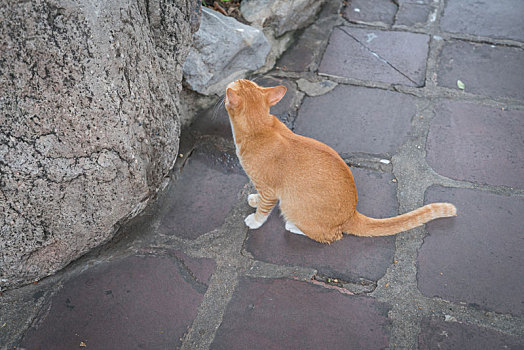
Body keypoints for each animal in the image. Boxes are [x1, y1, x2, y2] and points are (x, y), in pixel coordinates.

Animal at [224, 79, 454, 243]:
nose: (237, 77)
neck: (261, 127)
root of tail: (351, 214)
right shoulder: (264, 188)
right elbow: (259, 198)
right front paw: (254, 199)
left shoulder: (269, 189)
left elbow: (264, 209)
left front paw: (255, 220)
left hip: (292, 205)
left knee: (332, 236)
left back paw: (293, 225)